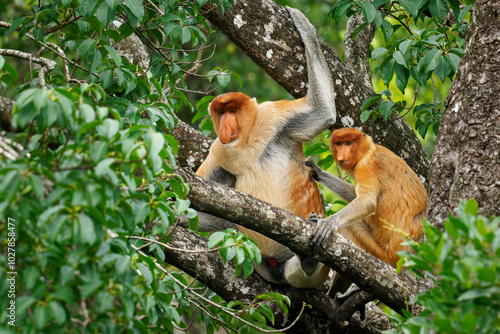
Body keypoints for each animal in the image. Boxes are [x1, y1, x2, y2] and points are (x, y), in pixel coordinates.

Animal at [193, 6, 338, 288]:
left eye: (232, 110)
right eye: (221, 112)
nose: (226, 126)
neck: (247, 143)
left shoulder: (273, 116)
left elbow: (322, 113)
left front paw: (305, 27)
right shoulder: (219, 151)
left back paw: (309, 259)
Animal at [306, 128, 428, 268]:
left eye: (348, 143)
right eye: (338, 144)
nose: (341, 156)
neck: (369, 150)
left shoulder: (366, 166)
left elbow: (367, 201)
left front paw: (327, 223)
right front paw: (318, 171)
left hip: (381, 253)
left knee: (350, 226)